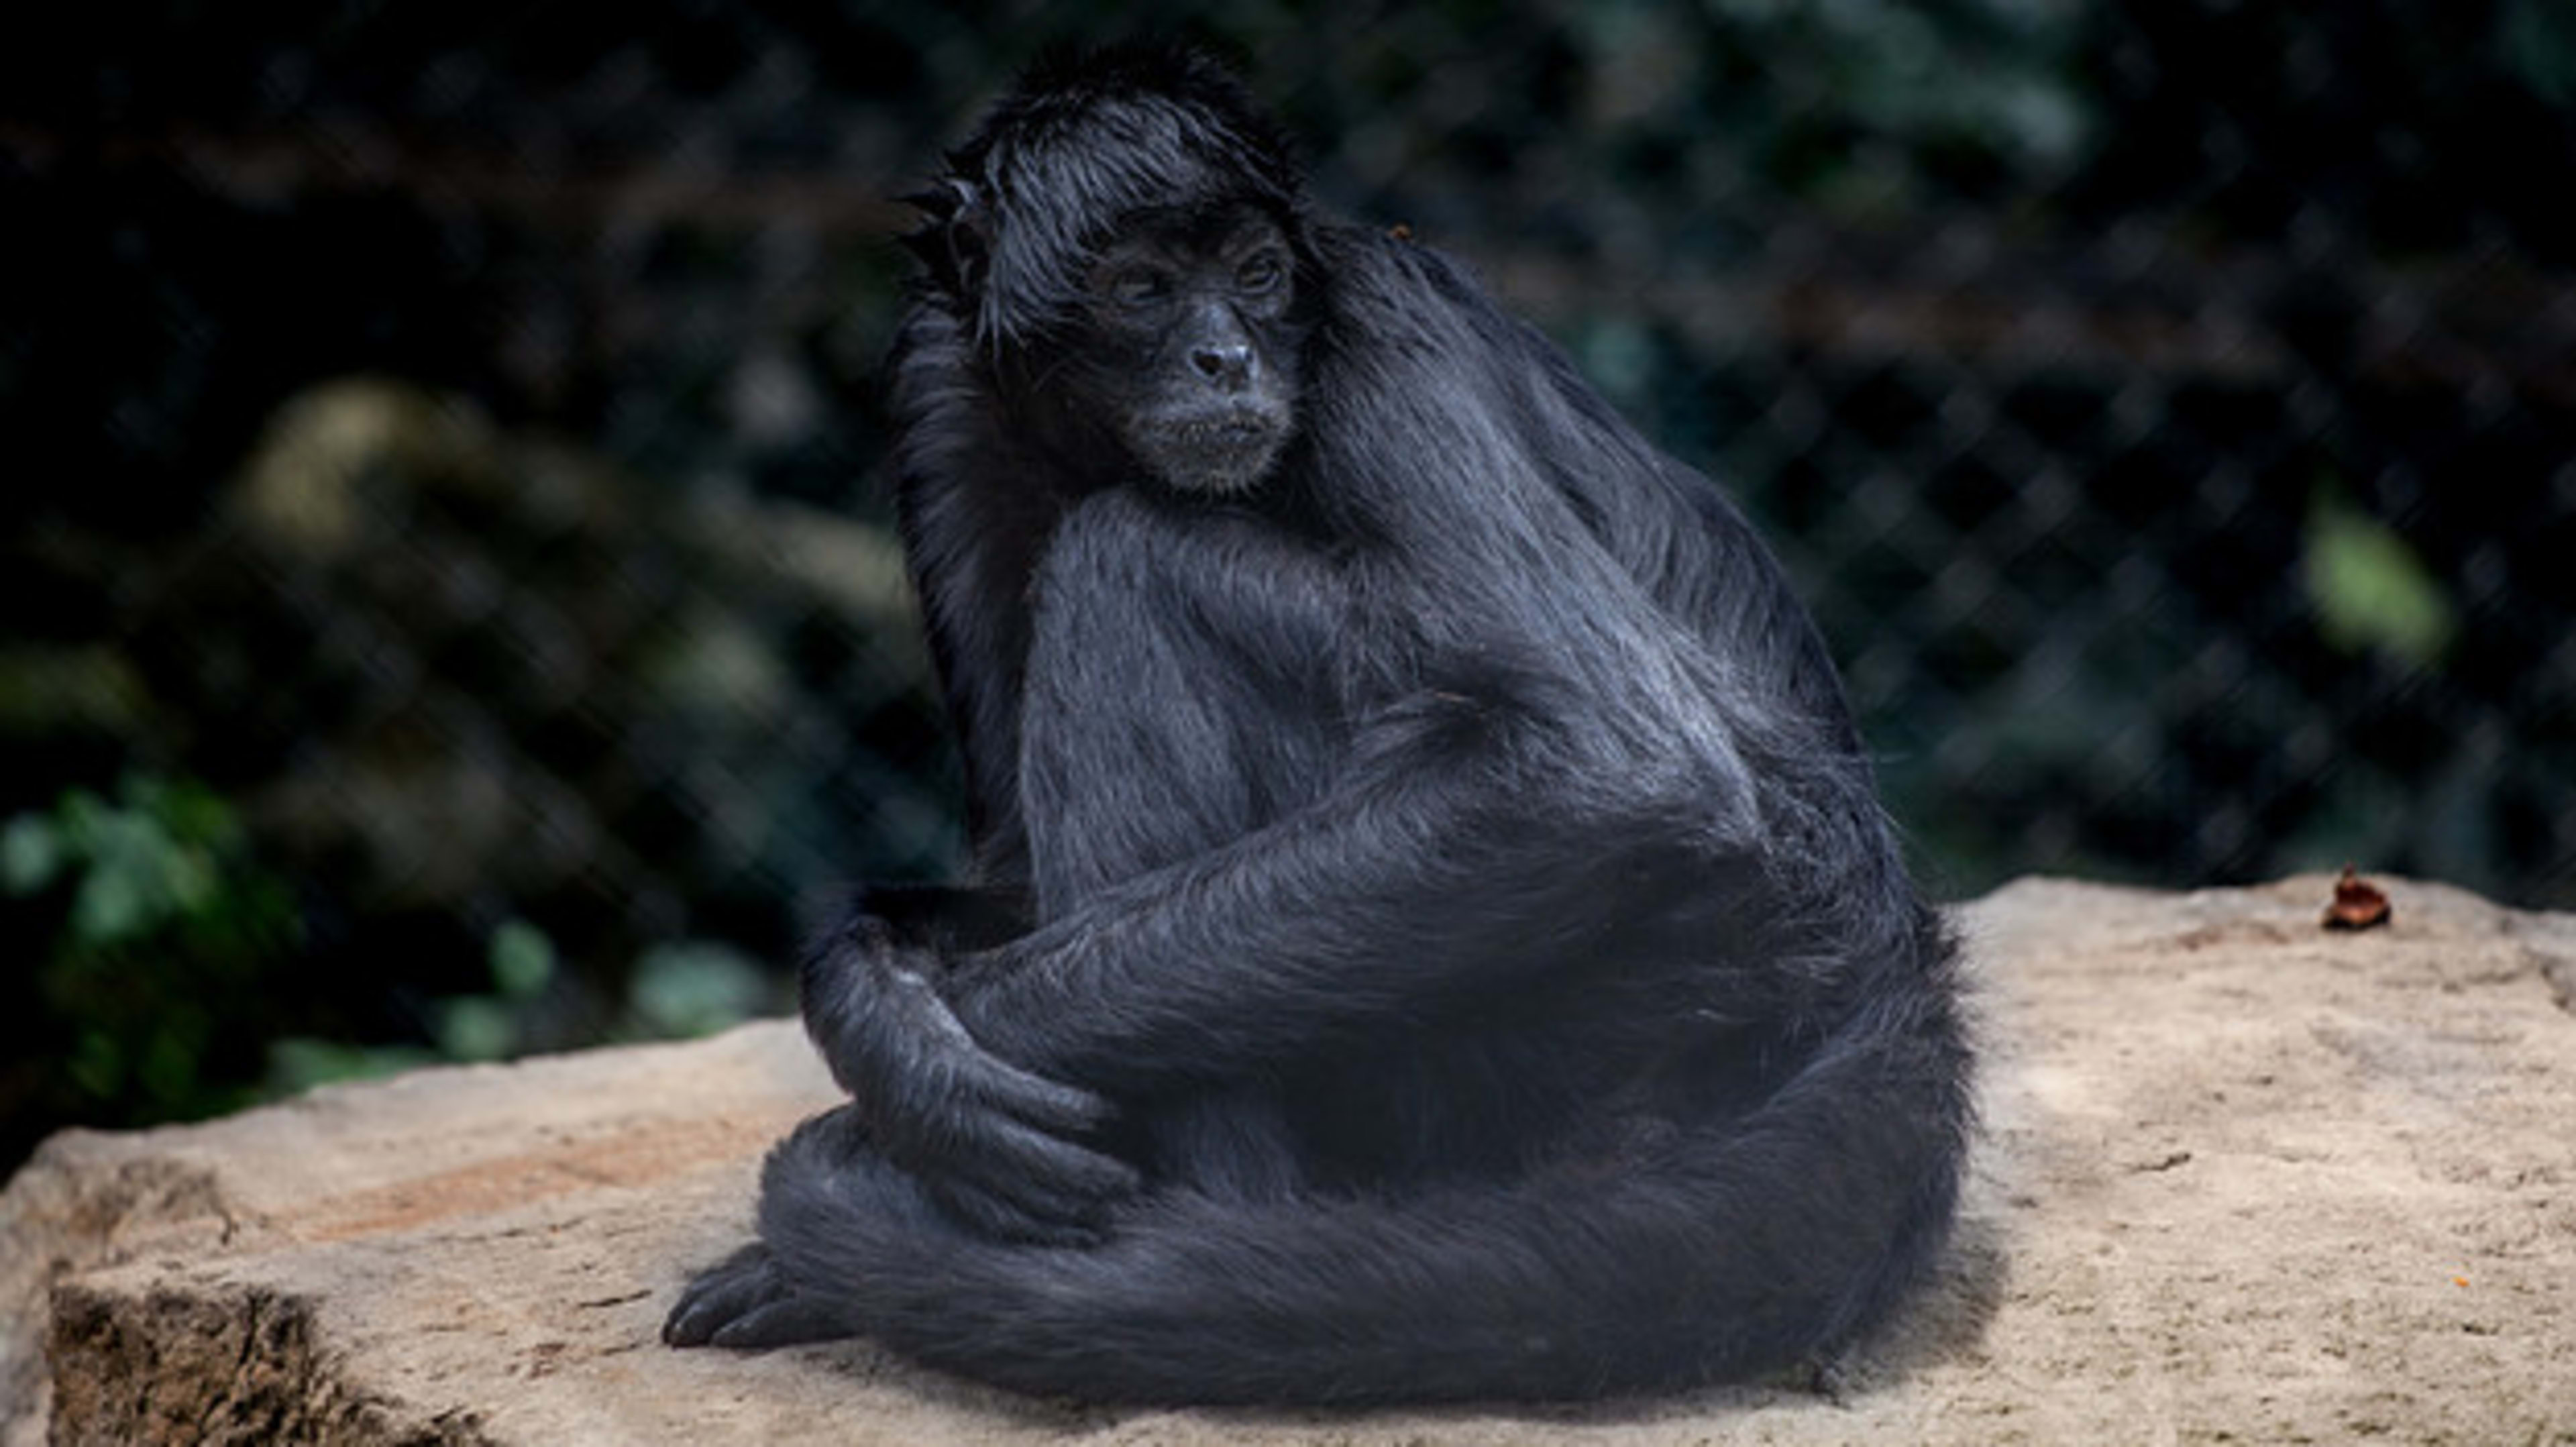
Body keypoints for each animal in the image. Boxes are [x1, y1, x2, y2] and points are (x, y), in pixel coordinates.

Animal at [664, 42, 1968, 1400]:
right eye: (1141, 289)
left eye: (1255, 277)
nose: (1227, 360)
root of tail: (1885, 953)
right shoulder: (947, 391)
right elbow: (1016, 872)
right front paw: (875, 1011)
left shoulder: (1375, 319)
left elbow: (1614, 770)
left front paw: (895, 1089)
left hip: (1619, 987)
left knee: (1129, 559)